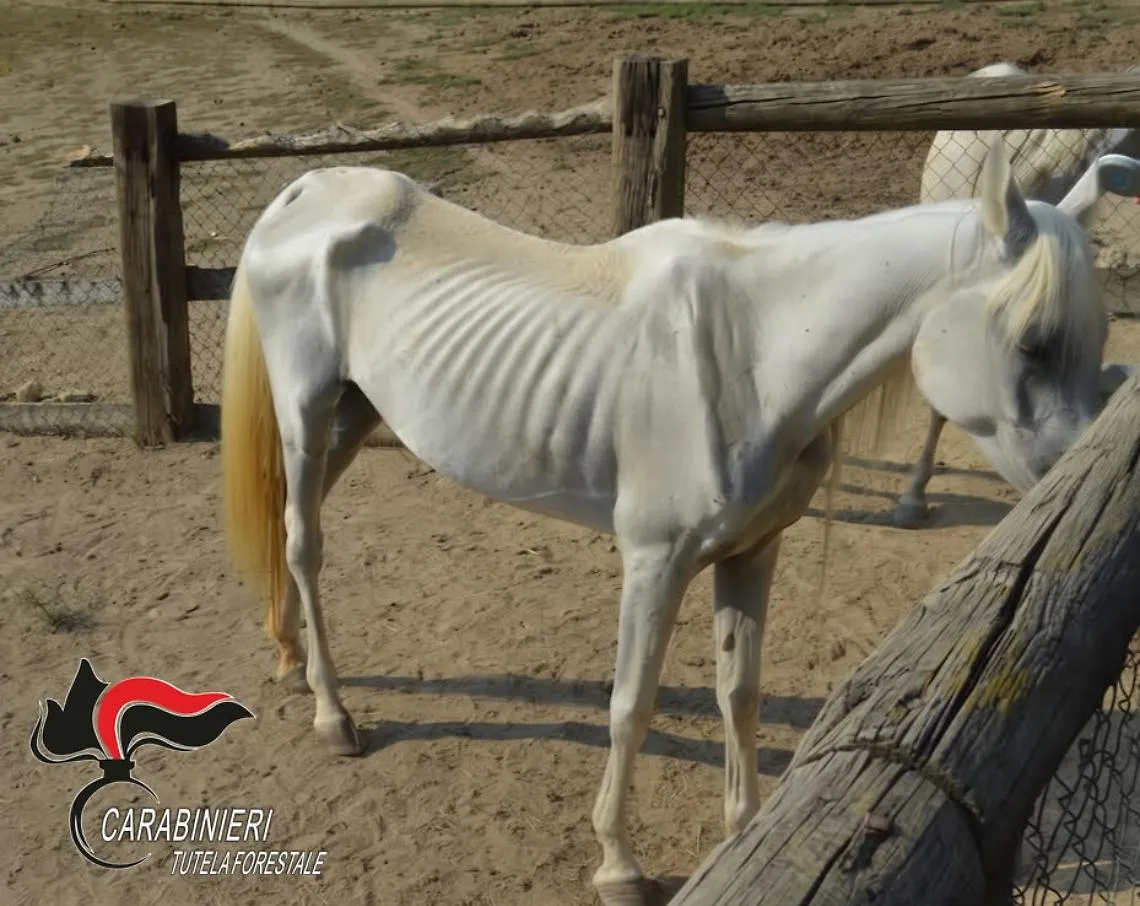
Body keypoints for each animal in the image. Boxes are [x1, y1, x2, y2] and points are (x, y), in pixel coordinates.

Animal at [219, 139, 1139, 906]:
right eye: (1033, 341)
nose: (1078, 472)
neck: (758, 354)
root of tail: (307, 191)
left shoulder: (753, 552)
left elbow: (740, 689)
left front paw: (744, 832)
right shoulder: (654, 562)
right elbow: (633, 704)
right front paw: (618, 867)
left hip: (354, 414)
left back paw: (290, 659)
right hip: (306, 414)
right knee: (304, 545)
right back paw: (333, 715)